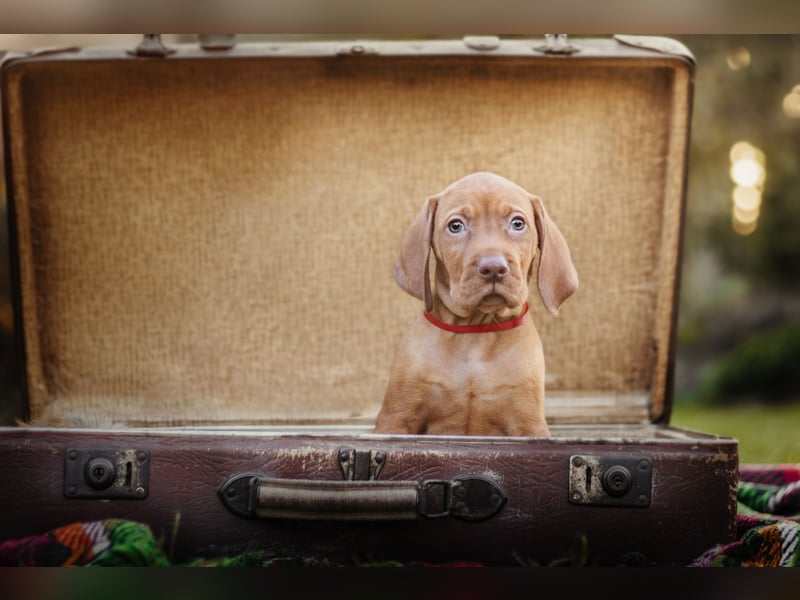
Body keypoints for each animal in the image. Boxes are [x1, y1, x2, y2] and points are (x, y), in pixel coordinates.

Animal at [376, 172, 576, 436]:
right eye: (456, 226)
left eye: (518, 224)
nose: (494, 268)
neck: (475, 331)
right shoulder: (396, 419)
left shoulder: (528, 425)